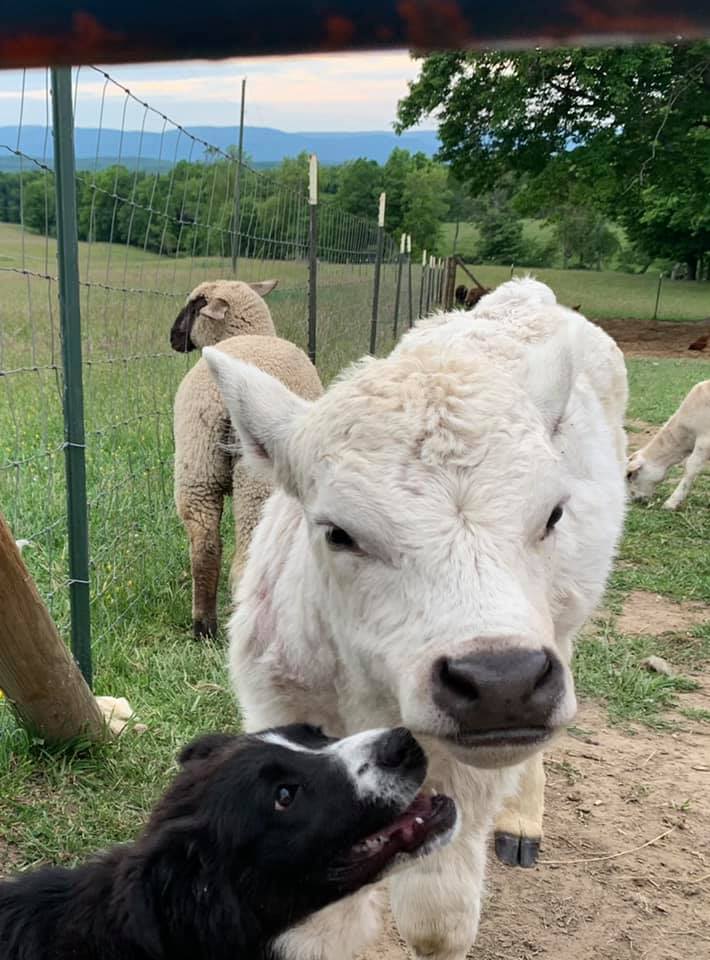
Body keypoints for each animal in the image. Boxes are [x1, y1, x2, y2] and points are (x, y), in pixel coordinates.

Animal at [171, 278, 322, 636]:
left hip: (196, 464)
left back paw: (204, 626)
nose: (172, 337)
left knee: (205, 546)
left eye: (193, 305)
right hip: (256, 480)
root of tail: (219, 397)